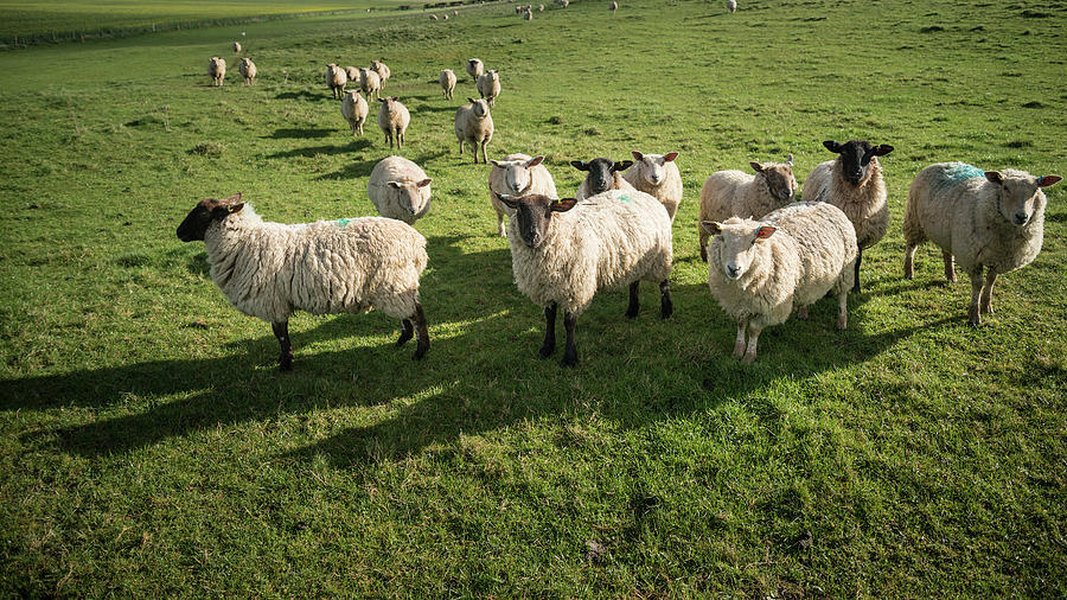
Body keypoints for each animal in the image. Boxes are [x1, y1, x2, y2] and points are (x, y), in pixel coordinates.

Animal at [176, 193, 430, 371]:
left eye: (202, 213)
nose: (178, 232)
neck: (244, 241)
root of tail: (417, 242)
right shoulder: (277, 300)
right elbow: (280, 333)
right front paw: (283, 359)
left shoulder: (273, 301)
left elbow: (280, 334)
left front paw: (285, 364)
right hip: (392, 283)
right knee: (406, 315)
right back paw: (402, 341)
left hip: (394, 281)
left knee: (417, 314)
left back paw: (420, 352)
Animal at [497, 189, 673, 367]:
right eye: (520, 210)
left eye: (548, 211)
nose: (533, 237)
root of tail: (642, 194)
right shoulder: (546, 289)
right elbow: (550, 318)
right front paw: (547, 348)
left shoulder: (575, 290)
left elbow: (569, 323)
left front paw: (569, 358)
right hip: (634, 260)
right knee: (634, 283)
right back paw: (632, 311)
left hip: (661, 257)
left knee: (663, 284)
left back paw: (666, 311)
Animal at [703, 201, 857, 364]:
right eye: (722, 239)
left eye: (753, 242)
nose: (734, 269)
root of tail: (825, 203)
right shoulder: (738, 304)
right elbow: (741, 325)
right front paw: (738, 351)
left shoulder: (769, 308)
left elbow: (753, 330)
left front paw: (749, 356)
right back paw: (803, 311)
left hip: (845, 270)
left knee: (842, 296)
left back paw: (841, 321)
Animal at [803, 139, 894, 293]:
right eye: (844, 152)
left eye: (870, 153)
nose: (856, 171)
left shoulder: (860, 238)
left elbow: (857, 262)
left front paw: (856, 287)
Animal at [903, 162, 1061, 325]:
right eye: (1005, 188)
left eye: (1035, 190)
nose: (1022, 216)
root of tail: (941, 163)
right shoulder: (972, 257)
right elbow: (978, 284)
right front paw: (974, 315)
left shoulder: (999, 259)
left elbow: (991, 281)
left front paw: (986, 305)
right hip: (914, 220)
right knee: (911, 247)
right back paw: (909, 272)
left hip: (947, 233)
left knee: (946, 252)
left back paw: (951, 275)